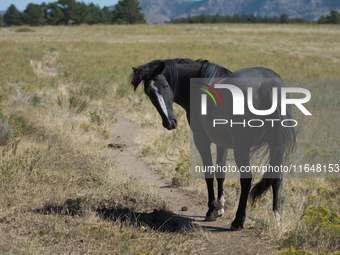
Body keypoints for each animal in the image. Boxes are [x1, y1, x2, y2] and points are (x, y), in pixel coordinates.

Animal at [130, 58, 294, 230]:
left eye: (166, 85)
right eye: (149, 92)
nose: (169, 122)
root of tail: (268, 84)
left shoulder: (201, 140)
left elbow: (209, 173)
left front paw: (211, 211)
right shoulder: (222, 143)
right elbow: (220, 172)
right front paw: (220, 207)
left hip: (242, 148)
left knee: (246, 180)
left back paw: (238, 220)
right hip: (276, 145)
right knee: (276, 178)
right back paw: (276, 218)